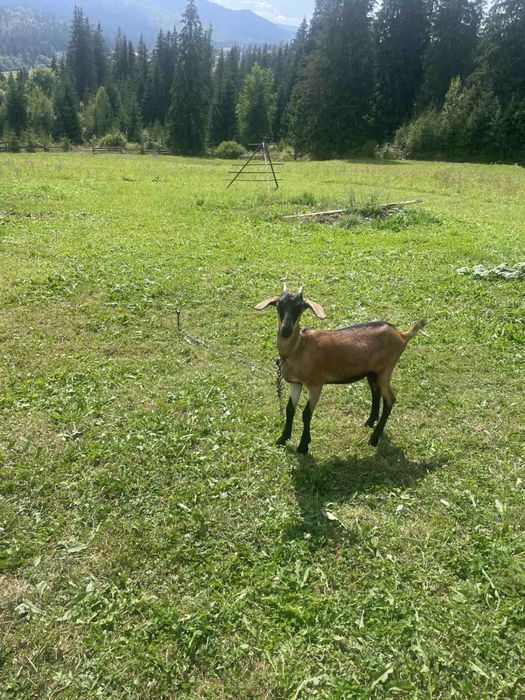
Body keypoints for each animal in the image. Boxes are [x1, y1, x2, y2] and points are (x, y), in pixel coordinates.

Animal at [255, 285, 426, 454]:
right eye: (279, 305)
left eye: (300, 307)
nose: (285, 330)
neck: (298, 348)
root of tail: (402, 335)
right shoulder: (295, 383)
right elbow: (290, 409)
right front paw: (282, 439)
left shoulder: (316, 385)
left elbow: (306, 414)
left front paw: (303, 446)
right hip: (372, 372)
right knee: (376, 392)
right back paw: (370, 421)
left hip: (386, 369)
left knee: (390, 399)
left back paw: (374, 439)